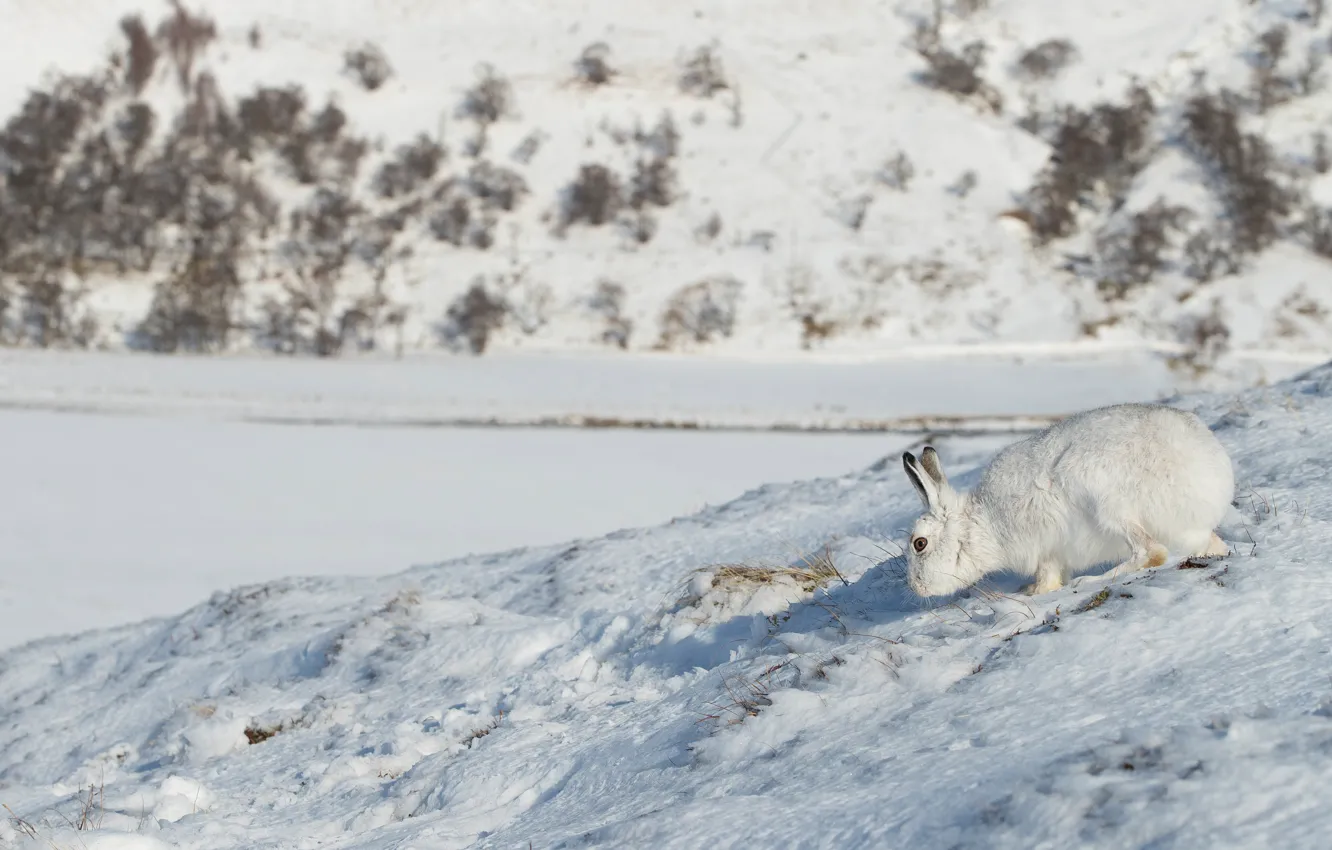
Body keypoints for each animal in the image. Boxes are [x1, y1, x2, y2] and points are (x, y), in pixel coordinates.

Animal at [901, 402, 1234, 597]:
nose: (916, 587)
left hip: (1107, 503)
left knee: (1152, 552)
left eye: (920, 544)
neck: (980, 525)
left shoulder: (1044, 543)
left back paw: (1089, 582)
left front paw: (1034, 592)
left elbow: (1047, 574)